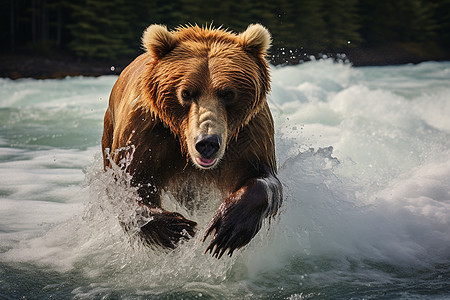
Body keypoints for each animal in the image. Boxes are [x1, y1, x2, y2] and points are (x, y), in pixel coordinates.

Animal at [103, 24, 282, 258]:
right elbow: (129, 184)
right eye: (186, 93)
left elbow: (263, 178)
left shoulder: (249, 133)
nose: (207, 143)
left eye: (228, 93)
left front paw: (227, 229)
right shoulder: (145, 132)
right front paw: (175, 228)